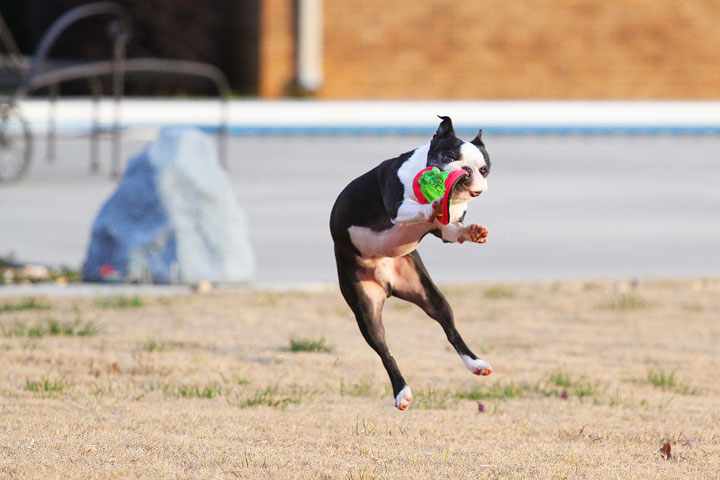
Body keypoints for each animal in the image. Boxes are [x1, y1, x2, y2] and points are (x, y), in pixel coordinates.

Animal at [332, 115, 496, 408]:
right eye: (448, 156)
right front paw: (433, 204)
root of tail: (387, 284)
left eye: (484, 169)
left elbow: (455, 230)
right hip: (364, 307)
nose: (466, 171)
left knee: (450, 330)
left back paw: (476, 364)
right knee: (385, 351)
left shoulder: (446, 230)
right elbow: (416, 208)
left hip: (429, 294)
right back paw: (402, 392)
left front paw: (473, 232)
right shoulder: (397, 207)